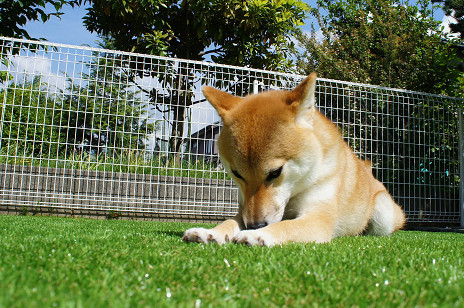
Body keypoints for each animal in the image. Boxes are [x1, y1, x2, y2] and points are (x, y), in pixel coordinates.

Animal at [183, 71, 404, 245]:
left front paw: (257, 235)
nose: (255, 225)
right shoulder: (244, 209)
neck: (295, 190)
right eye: (237, 174)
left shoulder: (317, 217)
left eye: (275, 172)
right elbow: (231, 221)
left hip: (383, 213)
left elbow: (286, 226)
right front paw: (211, 232)